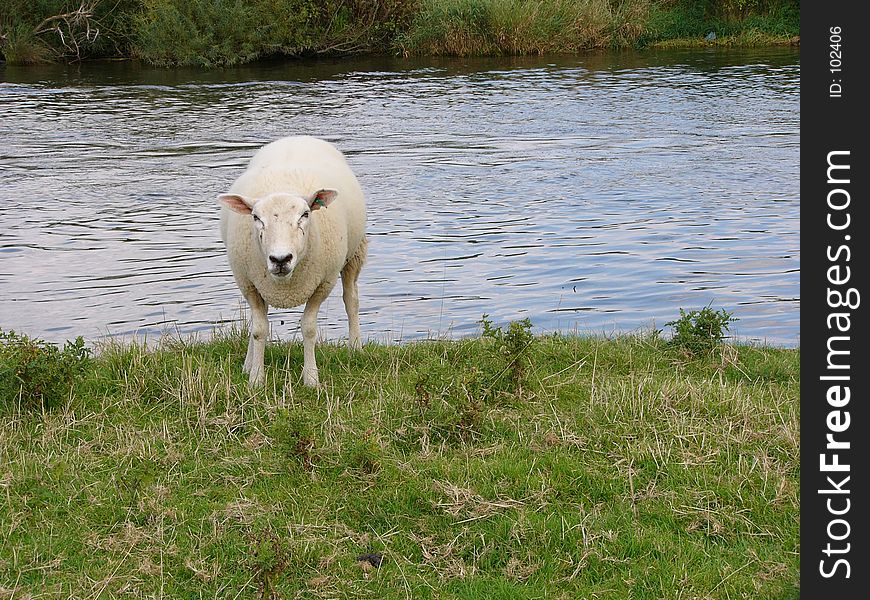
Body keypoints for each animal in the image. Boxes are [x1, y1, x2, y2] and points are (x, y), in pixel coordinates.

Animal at [220, 136, 370, 386]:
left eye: (305, 214)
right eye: (256, 217)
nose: (281, 259)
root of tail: (298, 137)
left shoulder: (322, 283)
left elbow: (308, 328)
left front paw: (311, 378)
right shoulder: (248, 283)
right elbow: (258, 329)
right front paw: (255, 378)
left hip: (354, 254)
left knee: (351, 300)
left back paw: (356, 348)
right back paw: (248, 363)